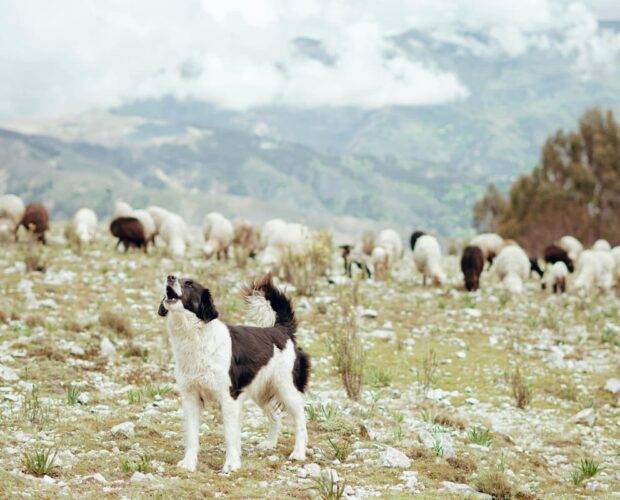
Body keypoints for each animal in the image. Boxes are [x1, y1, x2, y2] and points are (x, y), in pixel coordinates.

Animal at [156, 274, 308, 472]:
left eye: (189, 284)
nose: (170, 277)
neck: (197, 336)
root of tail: (281, 329)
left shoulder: (228, 398)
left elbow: (229, 434)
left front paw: (231, 464)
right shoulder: (190, 397)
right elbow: (191, 435)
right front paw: (189, 463)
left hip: (287, 390)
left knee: (301, 421)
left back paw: (299, 453)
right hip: (260, 391)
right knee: (275, 416)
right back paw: (270, 443)